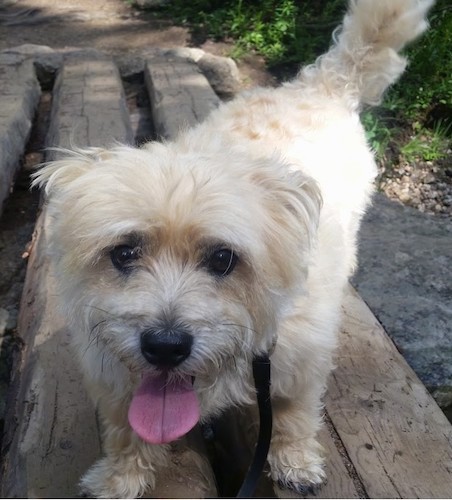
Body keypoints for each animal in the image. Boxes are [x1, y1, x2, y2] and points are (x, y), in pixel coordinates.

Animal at [32, 0, 434, 496]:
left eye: (223, 259)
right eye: (123, 253)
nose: (165, 346)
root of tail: (325, 82)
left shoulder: (302, 359)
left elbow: (293, 414)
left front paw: (295, 461)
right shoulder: (114, 376)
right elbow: (126, 428)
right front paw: (118, 478)